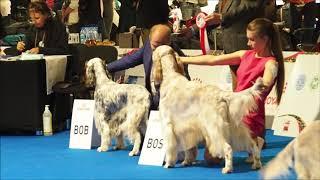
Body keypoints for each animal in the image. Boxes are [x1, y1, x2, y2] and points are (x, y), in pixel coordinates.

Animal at [152, 44, 264, 173]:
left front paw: (169, 163)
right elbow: (189, 148)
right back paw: (256, 164)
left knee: (228, 148)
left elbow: (170, 147)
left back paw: (227, 169)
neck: (170, 77)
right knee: (252, 144)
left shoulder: (168, 125)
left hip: (214, 128)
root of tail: (221, 94)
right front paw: (187, 161)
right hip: (234, 128)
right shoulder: (187, 128)